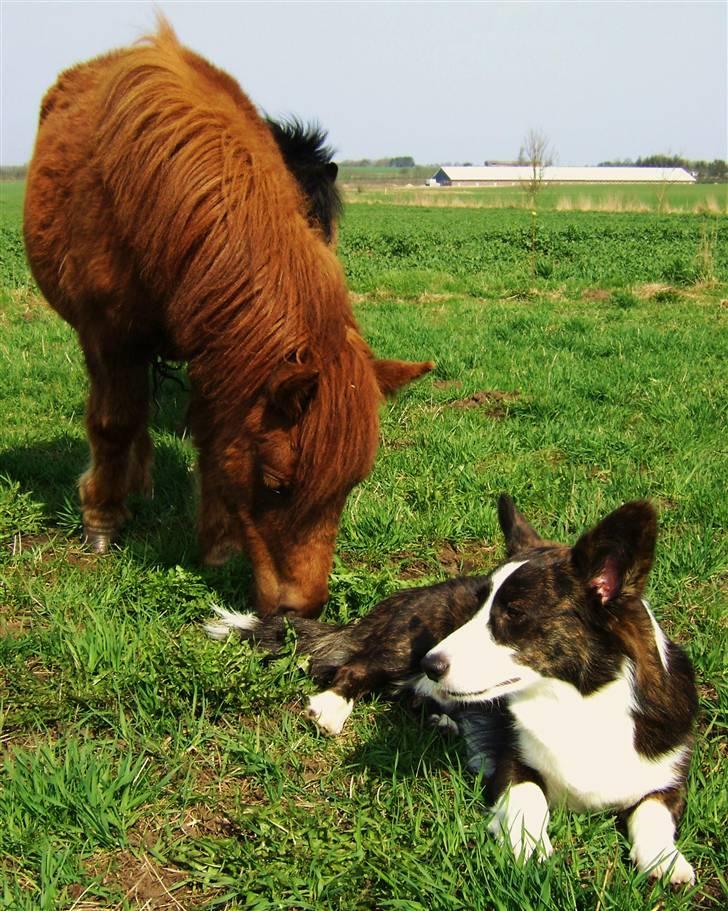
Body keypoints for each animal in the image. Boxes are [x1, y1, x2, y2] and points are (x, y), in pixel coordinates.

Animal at [24, 23, 432, 620]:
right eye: (277, 485)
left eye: (352, 485)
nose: (302, 610)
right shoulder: (108, 337)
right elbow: (114, 422)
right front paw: (102, 519)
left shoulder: (215, 347)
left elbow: (210, 434)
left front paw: (215, 545)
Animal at [206, 496, 700, 888]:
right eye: (479, 606)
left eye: (514, 614)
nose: (432, 662)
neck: (579, 702)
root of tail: (407, 596)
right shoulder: (514, 765)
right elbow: (531, 798)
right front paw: (528, 849)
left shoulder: (668, 782)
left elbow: (652, 814)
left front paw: (666, 862)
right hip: (403, 644)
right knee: (355, 667)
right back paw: (331, 708)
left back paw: (442, 720)